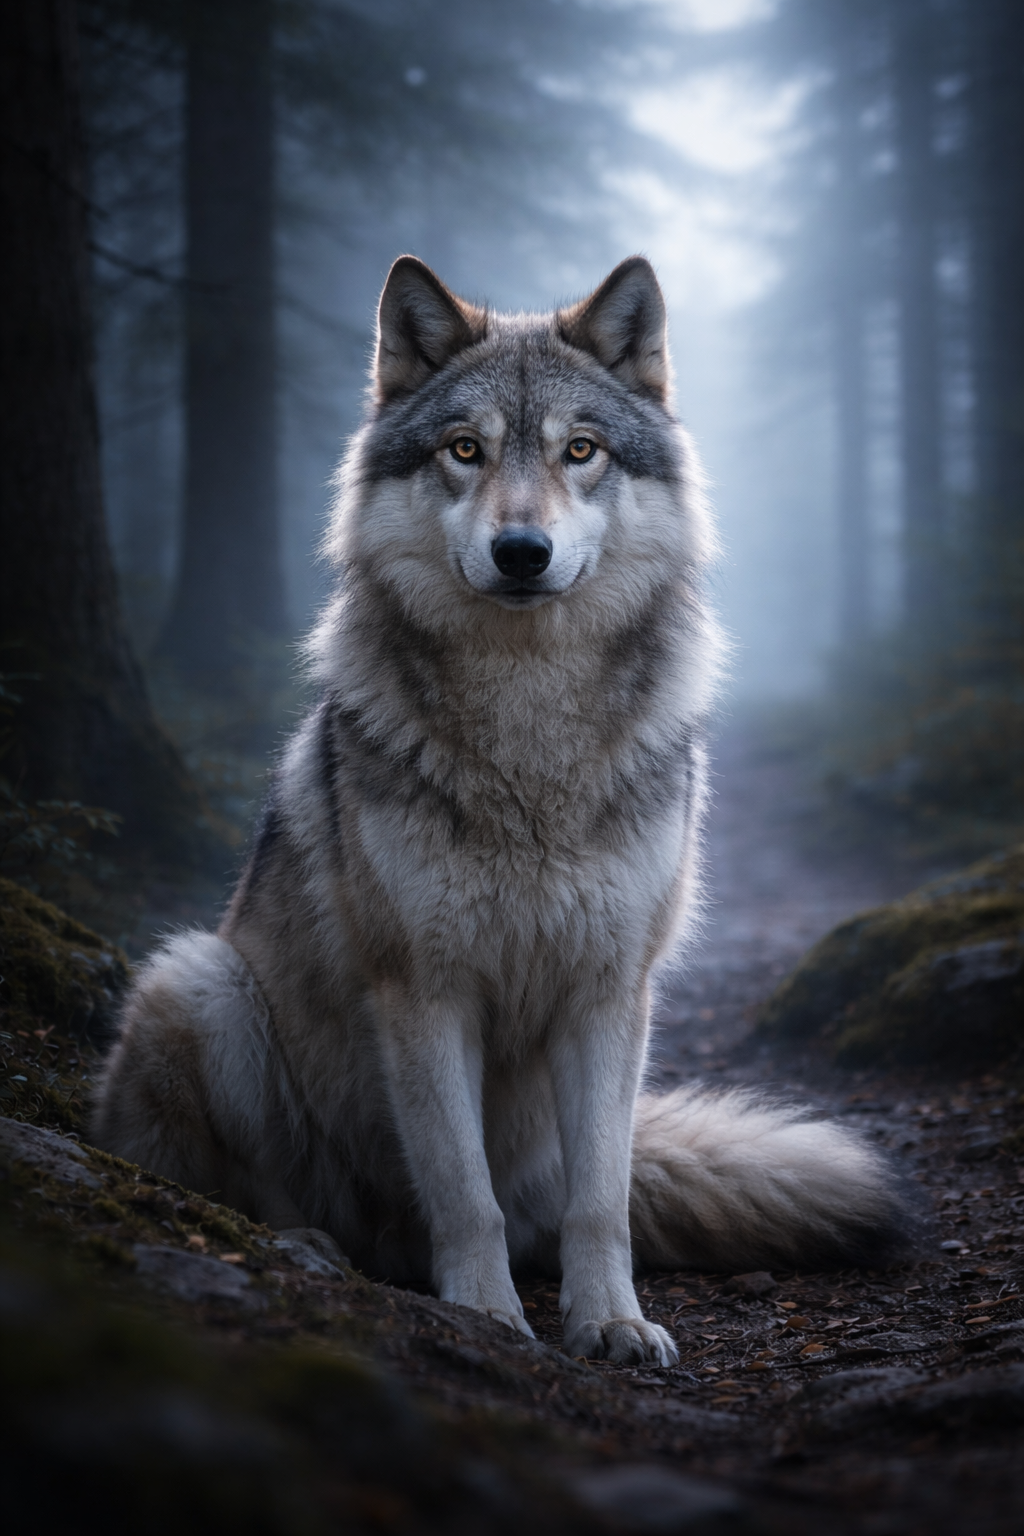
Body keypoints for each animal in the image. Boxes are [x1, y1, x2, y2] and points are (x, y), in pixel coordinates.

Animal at [94, 256, 903, 1365]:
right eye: (465, 450)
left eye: (580, 451)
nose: (522, 550)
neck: (529, 737)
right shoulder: (425, 990)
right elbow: (460, 1189)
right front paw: (483, 1316)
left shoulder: (611, 994)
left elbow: (600, 1200)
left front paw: (611, 1323)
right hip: (201, 982)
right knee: (254, 1193)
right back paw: (309, 1248)